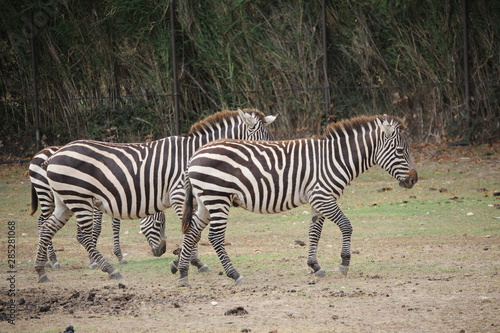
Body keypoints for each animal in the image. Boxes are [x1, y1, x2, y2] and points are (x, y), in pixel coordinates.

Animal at [29, 145, 166, 268]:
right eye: (158, 224)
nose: (163, 250)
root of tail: (39, 152)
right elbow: (97, 228)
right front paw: (93, 260)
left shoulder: (116, 201)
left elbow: (116, 227)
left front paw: (119, 256)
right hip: (45, 193)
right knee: (44, 221)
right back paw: (53, 260)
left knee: (41, 220)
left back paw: (46, 260)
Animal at [176, 115, 418, 286]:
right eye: (400, 151)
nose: (414, 179)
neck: (335, 158)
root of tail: (194, 155)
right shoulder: (323, 197)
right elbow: (346, 225)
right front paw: (344, 263)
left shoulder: (318, 200)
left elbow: (314, 233)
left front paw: (315, 266)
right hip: (218, 198)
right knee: (215, 237)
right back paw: (234, 274)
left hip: (205, 201)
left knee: (192, 231)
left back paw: (183, 274)